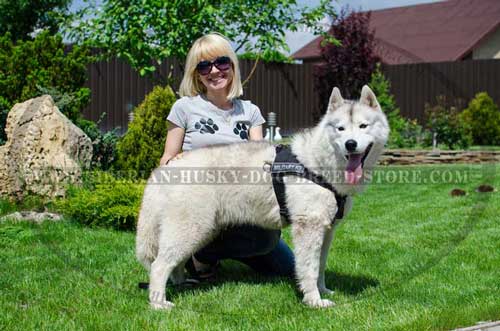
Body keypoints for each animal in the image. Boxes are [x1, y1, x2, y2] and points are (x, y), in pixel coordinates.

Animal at [137, 85, 390, 312]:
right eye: (340, 128)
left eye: (363, 126)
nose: (350, 144)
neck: (319, 165)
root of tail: (166, 168)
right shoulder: (309, 228)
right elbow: (308, 269)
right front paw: (314, 301)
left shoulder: (327, 230)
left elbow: (320, 266)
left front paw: (323, 290)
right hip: (191, 229)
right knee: (159, 265)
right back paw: (159, 303)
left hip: (201, 230)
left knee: (175, 263)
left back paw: (181, 284)